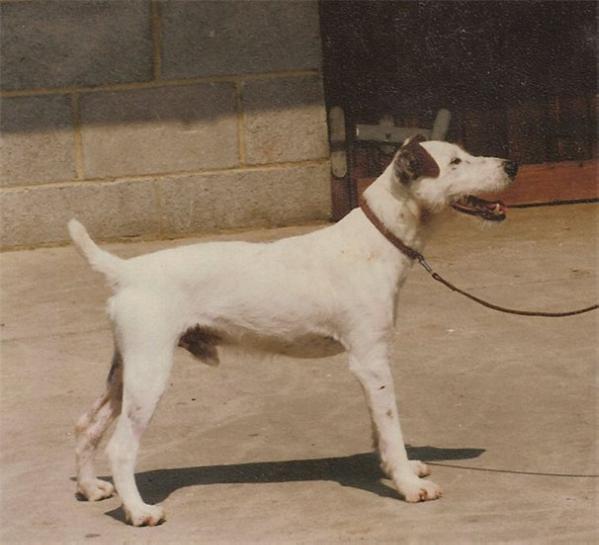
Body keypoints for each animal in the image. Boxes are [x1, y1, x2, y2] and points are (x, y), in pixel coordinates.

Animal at [70, 135, 516, 524]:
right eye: (455, 162)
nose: (512, 165)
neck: (376, 240)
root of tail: (127, 272)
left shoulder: (372, 364)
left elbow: (380, 427)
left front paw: (397, 468)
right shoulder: (370, 360)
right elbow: (391, 427)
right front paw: (408, 485)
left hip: (125, 372)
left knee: (87, 424)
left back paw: (91, 488)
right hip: (150, 373)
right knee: (120, 447)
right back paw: (139, 512)